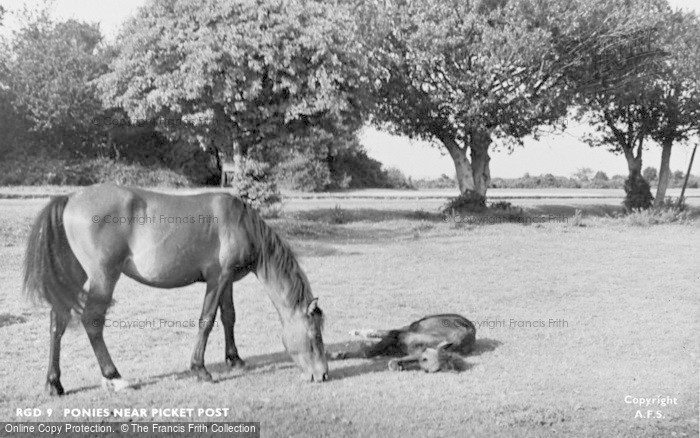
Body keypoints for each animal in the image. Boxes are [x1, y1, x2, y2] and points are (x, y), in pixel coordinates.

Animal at [22, 183, 328, 396]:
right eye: (314, 336)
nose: (323, 375)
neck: (240, 224)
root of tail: (70, 198)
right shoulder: (217, 278)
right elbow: (207, 321)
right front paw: (200, 369)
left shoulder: (227, 280)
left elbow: (229, 317)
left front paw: (235, 359)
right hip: (103, 276)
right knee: (92, 321)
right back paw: (114, 377)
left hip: (75, 274)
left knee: (58, 321)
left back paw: (54, 383)